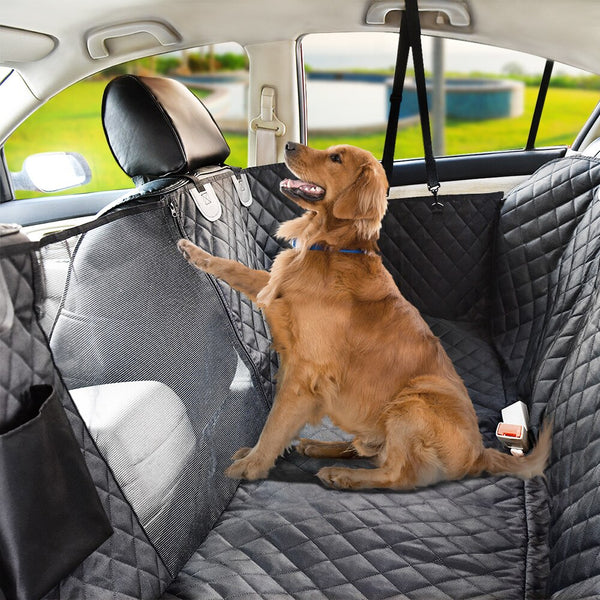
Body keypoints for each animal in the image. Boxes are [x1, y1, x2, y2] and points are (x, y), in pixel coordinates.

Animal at [177, 143, 548, 490]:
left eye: (336, 159)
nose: (290, 145)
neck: (330, 245)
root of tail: (479, 453)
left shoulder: (305, 372)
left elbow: (275, 422)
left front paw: (252, 464)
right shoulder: (276, 297)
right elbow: (236, 269)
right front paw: (195, 251)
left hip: (413, 402)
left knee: (396, 473)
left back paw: (342, 475)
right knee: (365, 449)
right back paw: (317, 446)